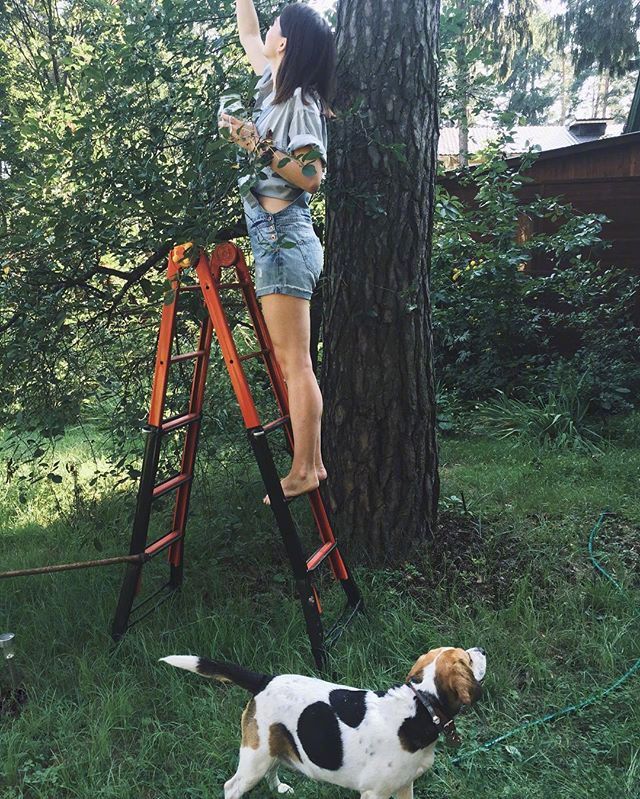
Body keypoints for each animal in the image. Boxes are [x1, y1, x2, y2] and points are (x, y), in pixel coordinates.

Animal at [160, 648, 484, 799]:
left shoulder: (405, 785)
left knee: (273, 768)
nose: (481, 649)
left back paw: (280, 789)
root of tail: (264, 679)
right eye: (467, 658)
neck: (421, 706)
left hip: (270, 749)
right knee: (232, 786)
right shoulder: (374, 793)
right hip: (254, 758)